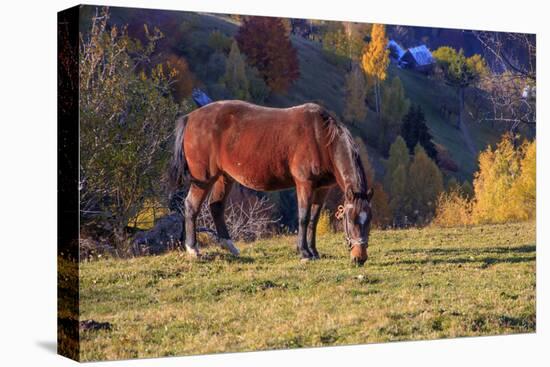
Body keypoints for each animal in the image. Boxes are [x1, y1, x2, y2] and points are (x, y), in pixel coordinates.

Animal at [168, 100, 376, 264]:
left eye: (369, 220)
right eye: (350, 220)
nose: (359, 258)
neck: (321, 138)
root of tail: (190, 118)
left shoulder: (322, 189)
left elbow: (314, 220)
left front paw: (314, 251)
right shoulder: (305, 184)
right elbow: (303, 217)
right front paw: (304, 252)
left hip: (224, 177)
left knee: (216, 206)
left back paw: (230, 246)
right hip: (204, 178)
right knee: (191, 206)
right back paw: (193, 249)